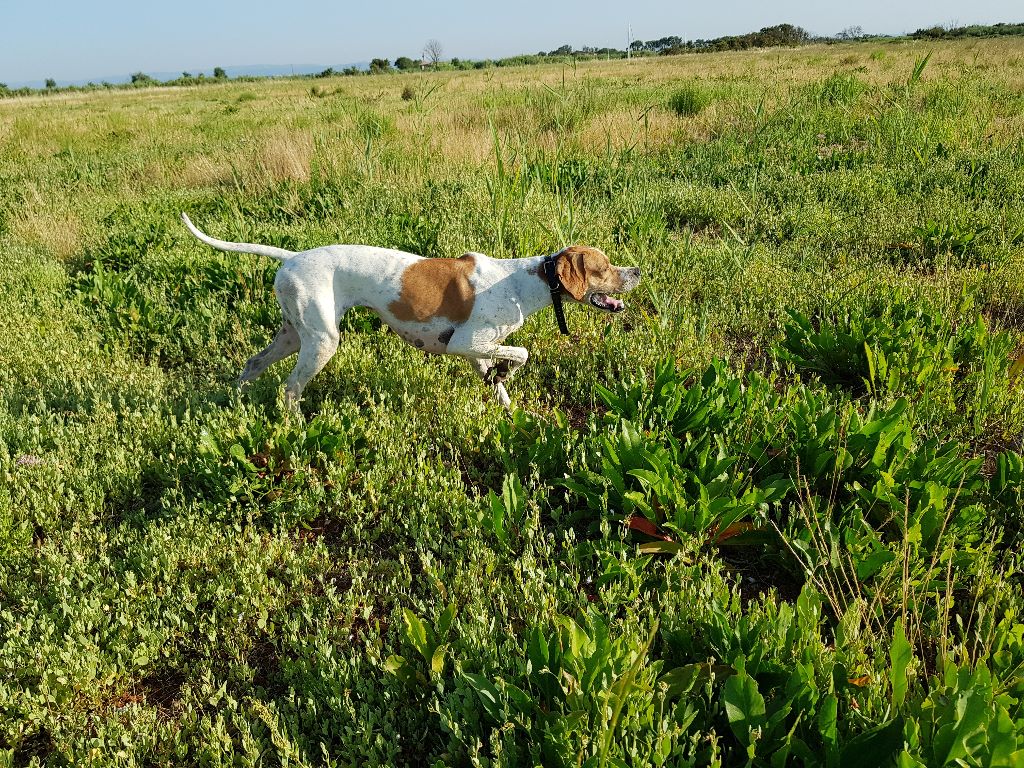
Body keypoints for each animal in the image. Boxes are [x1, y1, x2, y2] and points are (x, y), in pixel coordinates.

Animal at [180, 214, 634, 409]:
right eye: (604, 267)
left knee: (253, 364)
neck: (526, 281)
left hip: (294, 334)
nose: (637, 272)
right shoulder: (464, 343)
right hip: (321, 343)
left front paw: (511, 415)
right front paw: (509, 374)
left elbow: (499, 383)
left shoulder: (477, 352)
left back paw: (237, 406)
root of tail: (292, 257)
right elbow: (521, 354)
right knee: (290, 389)